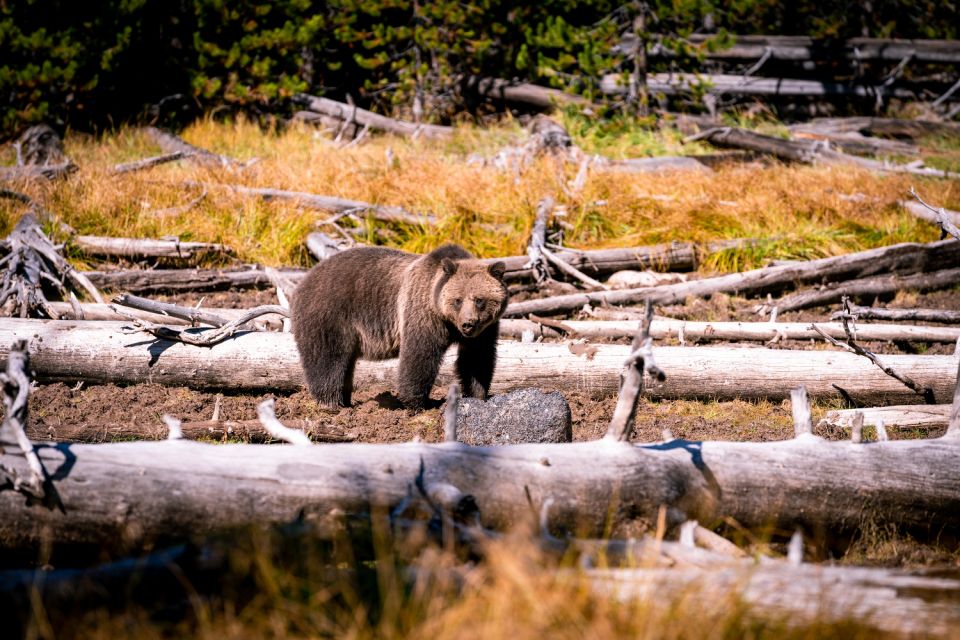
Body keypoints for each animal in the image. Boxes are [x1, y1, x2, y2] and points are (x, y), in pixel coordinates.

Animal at [290, 245, 510, 410]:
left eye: (480, 300)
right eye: (458, 300)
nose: (468, 323)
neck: (447, 321)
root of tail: (304, 280)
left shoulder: (485, 330)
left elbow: (477, 359)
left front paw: (477, 394)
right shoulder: (423, 313)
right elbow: (419, 355)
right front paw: (415, 403)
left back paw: (344, 400)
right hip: (329, 313)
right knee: (328, 358)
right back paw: (331, 402)